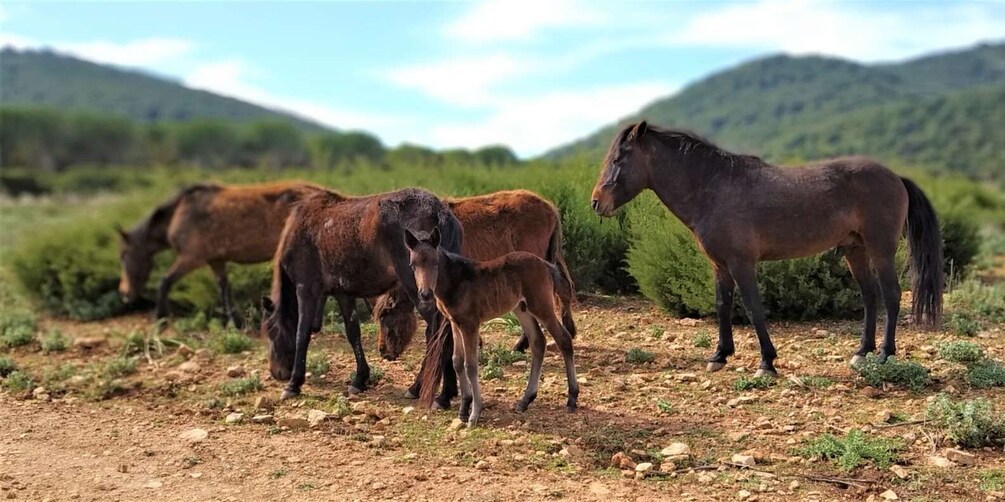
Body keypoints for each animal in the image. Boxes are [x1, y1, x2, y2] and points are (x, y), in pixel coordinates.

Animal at [117, 180, 323, 325]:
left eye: (124, 255)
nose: (124, 294)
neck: (179, 211)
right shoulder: (216, 261)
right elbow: (224, 289)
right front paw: (236, 322)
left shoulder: (191, 258)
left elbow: (165, 281)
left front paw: (160, 318)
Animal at [259, 186, 462, 401]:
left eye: (270, 331)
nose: (277, 373)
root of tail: (439, 210)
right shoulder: (343, 293)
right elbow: (353, 333)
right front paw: (360, 379)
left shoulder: (305, 289)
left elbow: (301, 334)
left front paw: (293, 384)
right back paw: (446, 392)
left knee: (435, 332)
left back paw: (419, 387)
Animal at [408, 227, 582, 427]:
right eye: (413, 265)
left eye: (435, 263)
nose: (425, 294)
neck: (457, 281)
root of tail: (546, 265)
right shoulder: (455, 323)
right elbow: (457, 361)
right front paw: (464, 408)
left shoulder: (470, 324)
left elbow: (471, 365)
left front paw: (474, 414)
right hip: (521, 309)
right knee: (538, 341)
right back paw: (525, 400)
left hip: (541, 307)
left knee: (564, 339)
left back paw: (572, 398)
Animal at [586, 121, 940, 377]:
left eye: (618, 159)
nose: (596, 202)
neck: (715, 188)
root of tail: (896, 177)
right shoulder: (720, 265)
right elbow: (722, 305)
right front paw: (719, 356)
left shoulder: (742, 263)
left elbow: (753, 307)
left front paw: (767, 363)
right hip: (856, 250)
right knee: (870, 298)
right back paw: (860, 353)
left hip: (881, 249)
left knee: (891, 296)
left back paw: (884, 355)